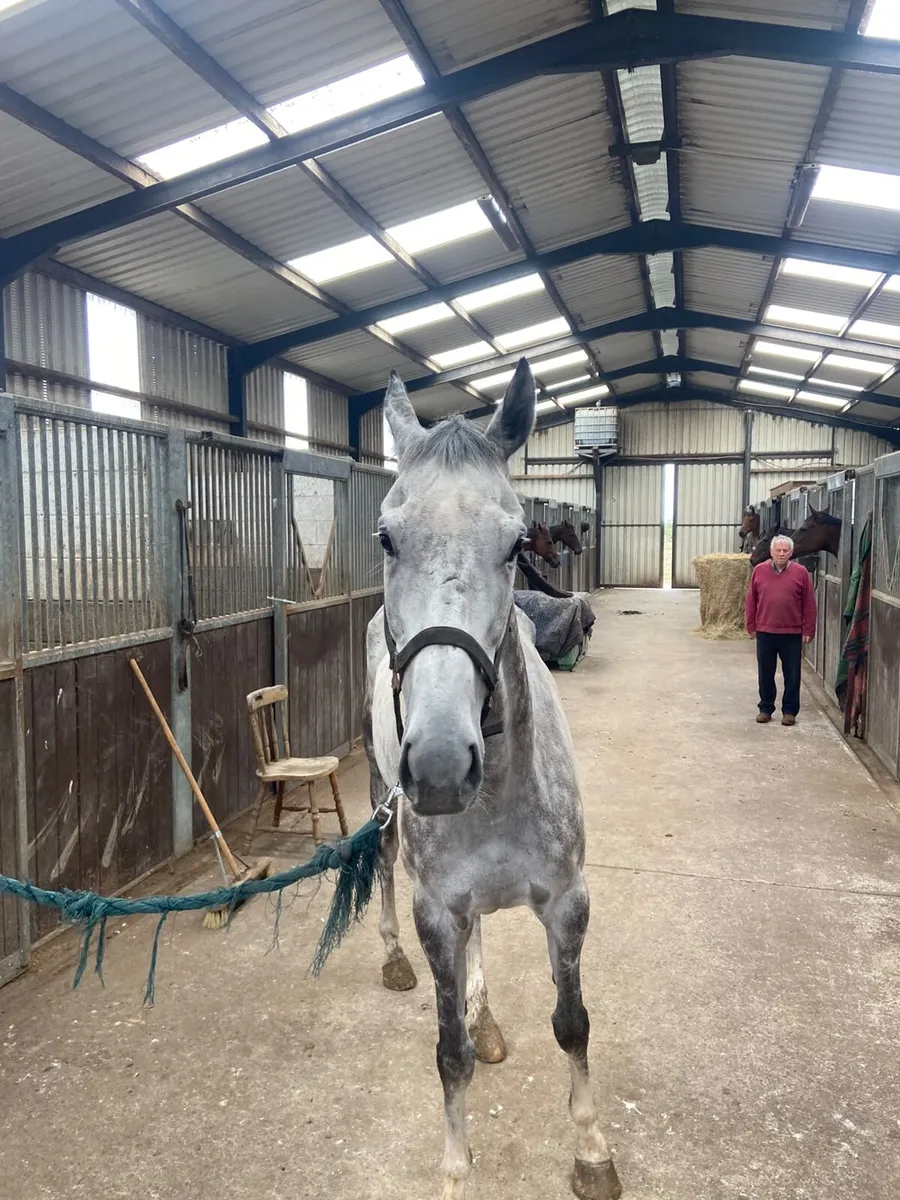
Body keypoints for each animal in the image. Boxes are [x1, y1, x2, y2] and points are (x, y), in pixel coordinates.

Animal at [362, 361, 621, 1200]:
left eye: (514, 544)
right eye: (386, 536)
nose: (442, 764)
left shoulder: (567, 903)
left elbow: (573, 1024)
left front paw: (592, 1152)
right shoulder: (437, 912)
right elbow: (448, 1056)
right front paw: (454, 1171)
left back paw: (487, 1016)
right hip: (383, 799)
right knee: (381, 864)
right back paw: (391, 960)